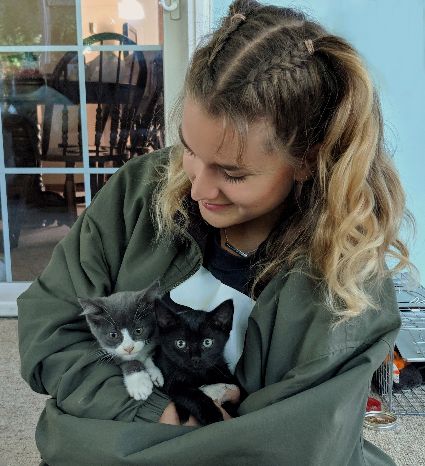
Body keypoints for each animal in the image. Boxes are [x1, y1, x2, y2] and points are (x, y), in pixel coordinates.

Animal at [153, 294, 240, 426]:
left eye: (207, 342)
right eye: (180, 343)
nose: (195, 359)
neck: (198, 376)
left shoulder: (224, 372)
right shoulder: (169, 378)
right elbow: (189, 392)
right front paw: (212, 414)